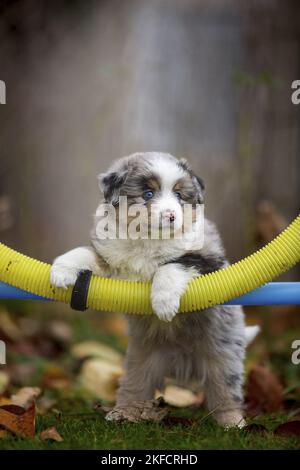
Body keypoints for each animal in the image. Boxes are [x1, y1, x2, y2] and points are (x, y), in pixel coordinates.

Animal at [50, 152, 258, 428]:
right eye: (148, 194)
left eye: (179, 195)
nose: (171, 215)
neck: (148, 239)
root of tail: (183, 362)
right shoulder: (109, 260)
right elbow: (84, 253)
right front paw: (60, 270)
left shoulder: (208, 261)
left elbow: (170, 267)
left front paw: (164, 304)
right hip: (140, 363)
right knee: (134, 388)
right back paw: (122, 413)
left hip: (223, 359)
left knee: (225, 393)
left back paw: (232, 423)